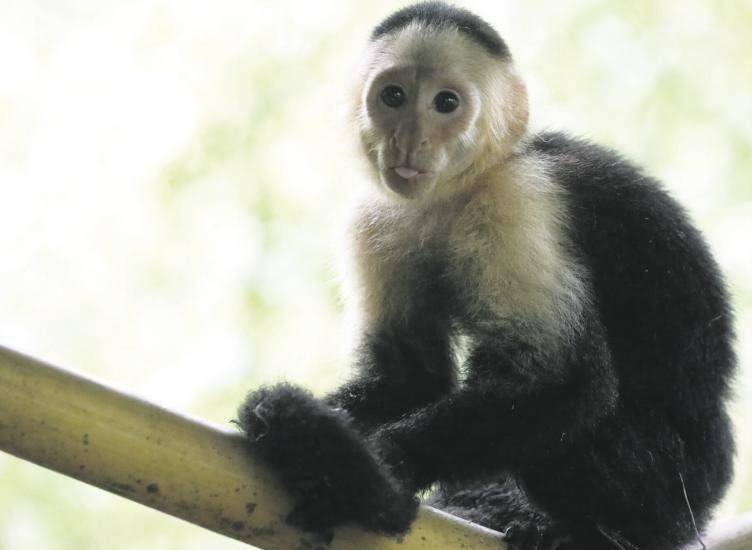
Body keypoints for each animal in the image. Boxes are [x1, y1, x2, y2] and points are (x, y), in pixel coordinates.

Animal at [237, 3, 736, 549]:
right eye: (394, 96)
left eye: (446, 103)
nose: (409, 140)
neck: (459, 190)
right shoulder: (373, 219)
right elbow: (409, 381)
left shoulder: (518, 197)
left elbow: (561, 380)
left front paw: (377, 465)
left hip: (669, 486)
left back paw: (589, 532)